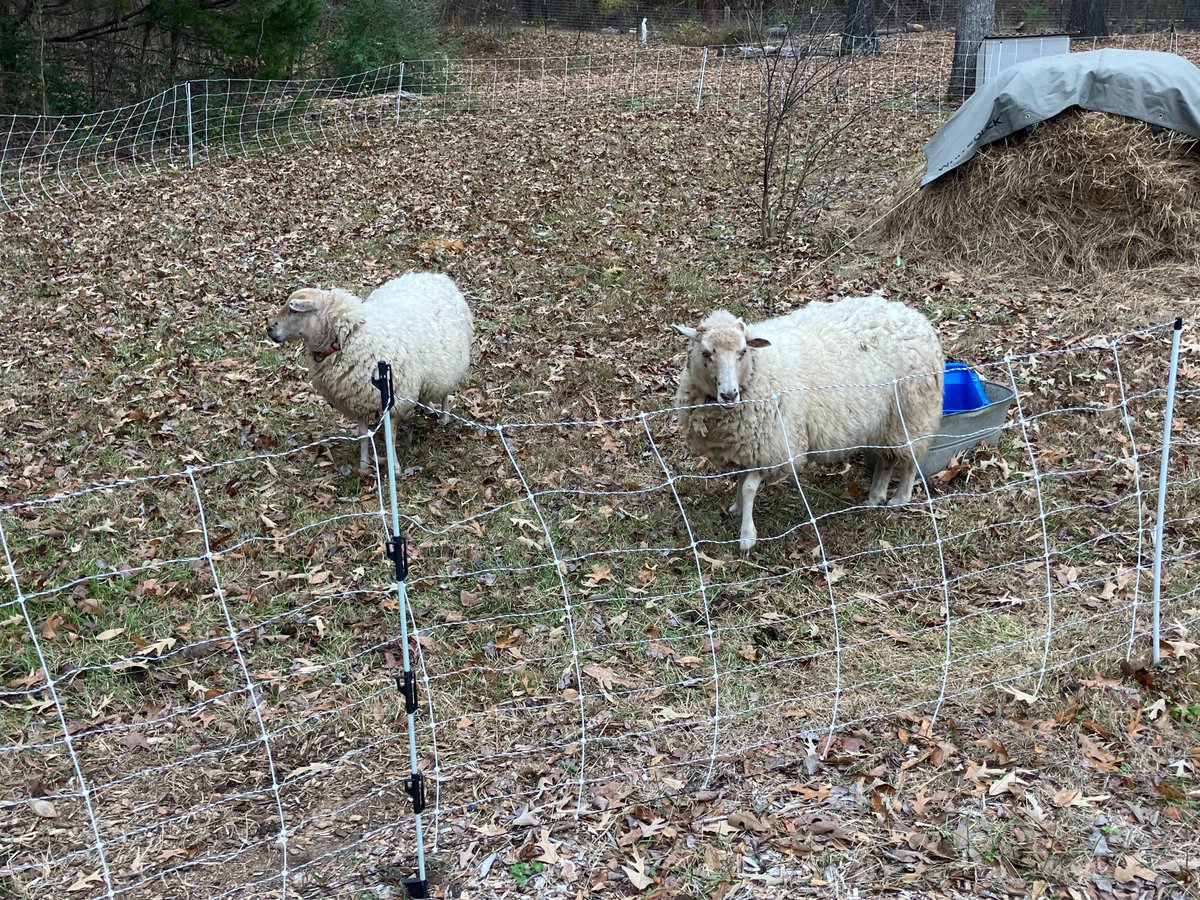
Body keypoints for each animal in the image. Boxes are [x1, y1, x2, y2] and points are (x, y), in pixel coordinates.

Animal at [266, 272, 474, 472]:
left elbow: (391, 437)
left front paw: (395, 467)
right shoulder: (358, 400)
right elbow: (363, 436)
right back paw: (427, 406)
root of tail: (436, 276)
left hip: (450, 363)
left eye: (293, 310)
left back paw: (445, 416)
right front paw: (364, 465)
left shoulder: (393, 401)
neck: (348, 337)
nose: (268, 328)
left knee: (445, 392)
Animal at [673, 294, 944, 552]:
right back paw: (875, 497)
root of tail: (917, 318)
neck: (759, 370)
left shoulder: (774, 446)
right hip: (886, 423)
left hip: (912, 413)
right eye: (706, 353)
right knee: (887, 459)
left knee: (910, 459)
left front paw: (747, 537)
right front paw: (737, 509)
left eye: (743, 352)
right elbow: (740, 480)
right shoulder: (747, 446)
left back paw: (900, 498)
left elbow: (749, 487)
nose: (729, 395)